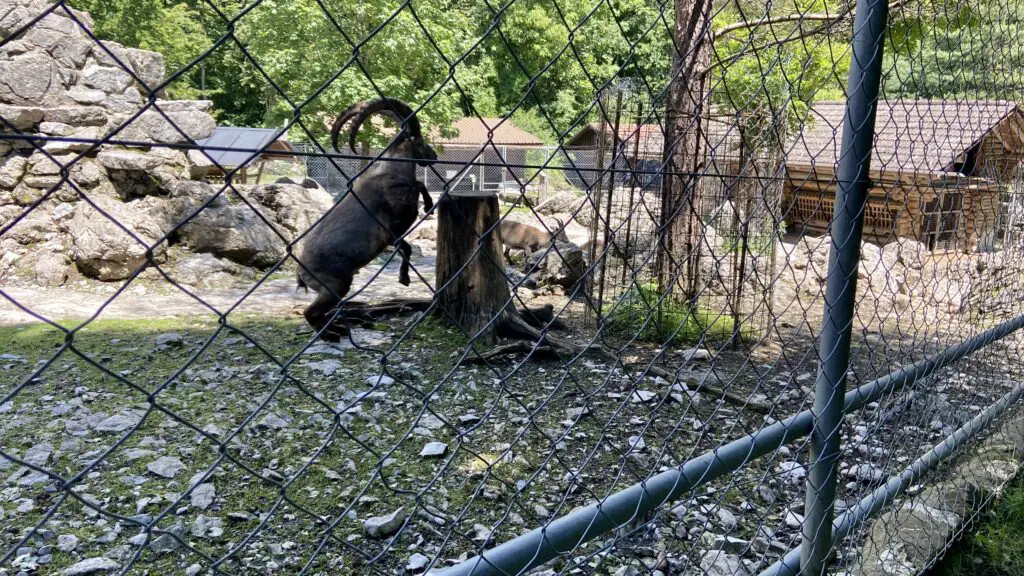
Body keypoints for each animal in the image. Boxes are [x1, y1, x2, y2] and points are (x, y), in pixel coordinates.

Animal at [299, 98, 436, 340]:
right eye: (419, 141)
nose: (434, 156)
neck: (393, 171)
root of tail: (301, 272)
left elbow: (419, 186)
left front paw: (429, 204)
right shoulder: (393, 229)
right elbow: (407, 246)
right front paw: (404, 279)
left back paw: (338, 329)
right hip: (335, 286)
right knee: (310, 312)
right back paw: (332, 334)